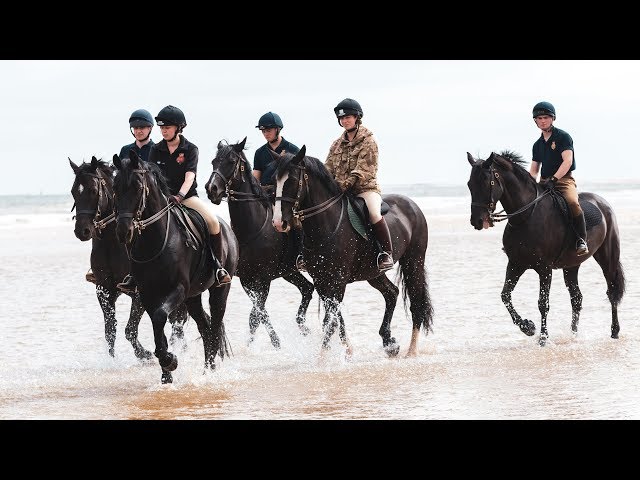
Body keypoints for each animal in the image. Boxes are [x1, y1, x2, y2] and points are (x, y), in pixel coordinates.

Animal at [68, 156, 188, 358]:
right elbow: (110, 331)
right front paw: (112, 359)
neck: (111, 243)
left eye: (93, 191)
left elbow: (130, 330)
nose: (82, 231)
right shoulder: (104, 290)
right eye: (73, 192)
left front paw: (145, 355)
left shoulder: (138, 294)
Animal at [111, 150, 239, 382]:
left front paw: (169, 360)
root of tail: (227, 228)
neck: (155, 240)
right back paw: (206, 370)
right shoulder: (148, 294)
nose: (123, 231)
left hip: (219, 289)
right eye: (115, 187)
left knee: (215, 326)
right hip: (193, 296)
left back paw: (211, 372)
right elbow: (157, 325)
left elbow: (160, 317)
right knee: (205, 328)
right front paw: (166, 374)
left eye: (138, 187)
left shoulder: (178, 289)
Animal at [205, 137, 316, 346]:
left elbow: (256, 314)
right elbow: (259, 312)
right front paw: (264, 343)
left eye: (231, 162)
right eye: (213, 162)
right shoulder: (247, 280)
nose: (211, 189)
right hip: (289, 272)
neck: (251, 228)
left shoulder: (263, 278)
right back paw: (304, 327)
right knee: (307, 288)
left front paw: (267, 344)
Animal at [272, 146, 432, 356]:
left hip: (413, 262)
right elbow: (335, 318)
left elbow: (330, 320)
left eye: (291, 180)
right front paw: (346, 350)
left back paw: (411, 351)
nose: (278, 223)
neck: (327, 224)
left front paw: (323, 358)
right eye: (275, 181)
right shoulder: (321, 280)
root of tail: (412, 205)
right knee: (391, 293)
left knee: (416, 303)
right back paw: (389, 342)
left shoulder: (338, 280)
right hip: (374, 272)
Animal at [464, 150, 624, 344]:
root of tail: (602, 203)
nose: (477, 221)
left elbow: (543, 303)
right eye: (470, 184)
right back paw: (573, 334)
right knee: (576, 298)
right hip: (571, 266)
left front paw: (543, 338)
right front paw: (528, 327)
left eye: (487, 182)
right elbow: (505, 295)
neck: (526, 216)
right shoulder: (516, 264)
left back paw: (614, 331)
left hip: (607, 258)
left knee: (612, 291)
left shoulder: (544, 268)